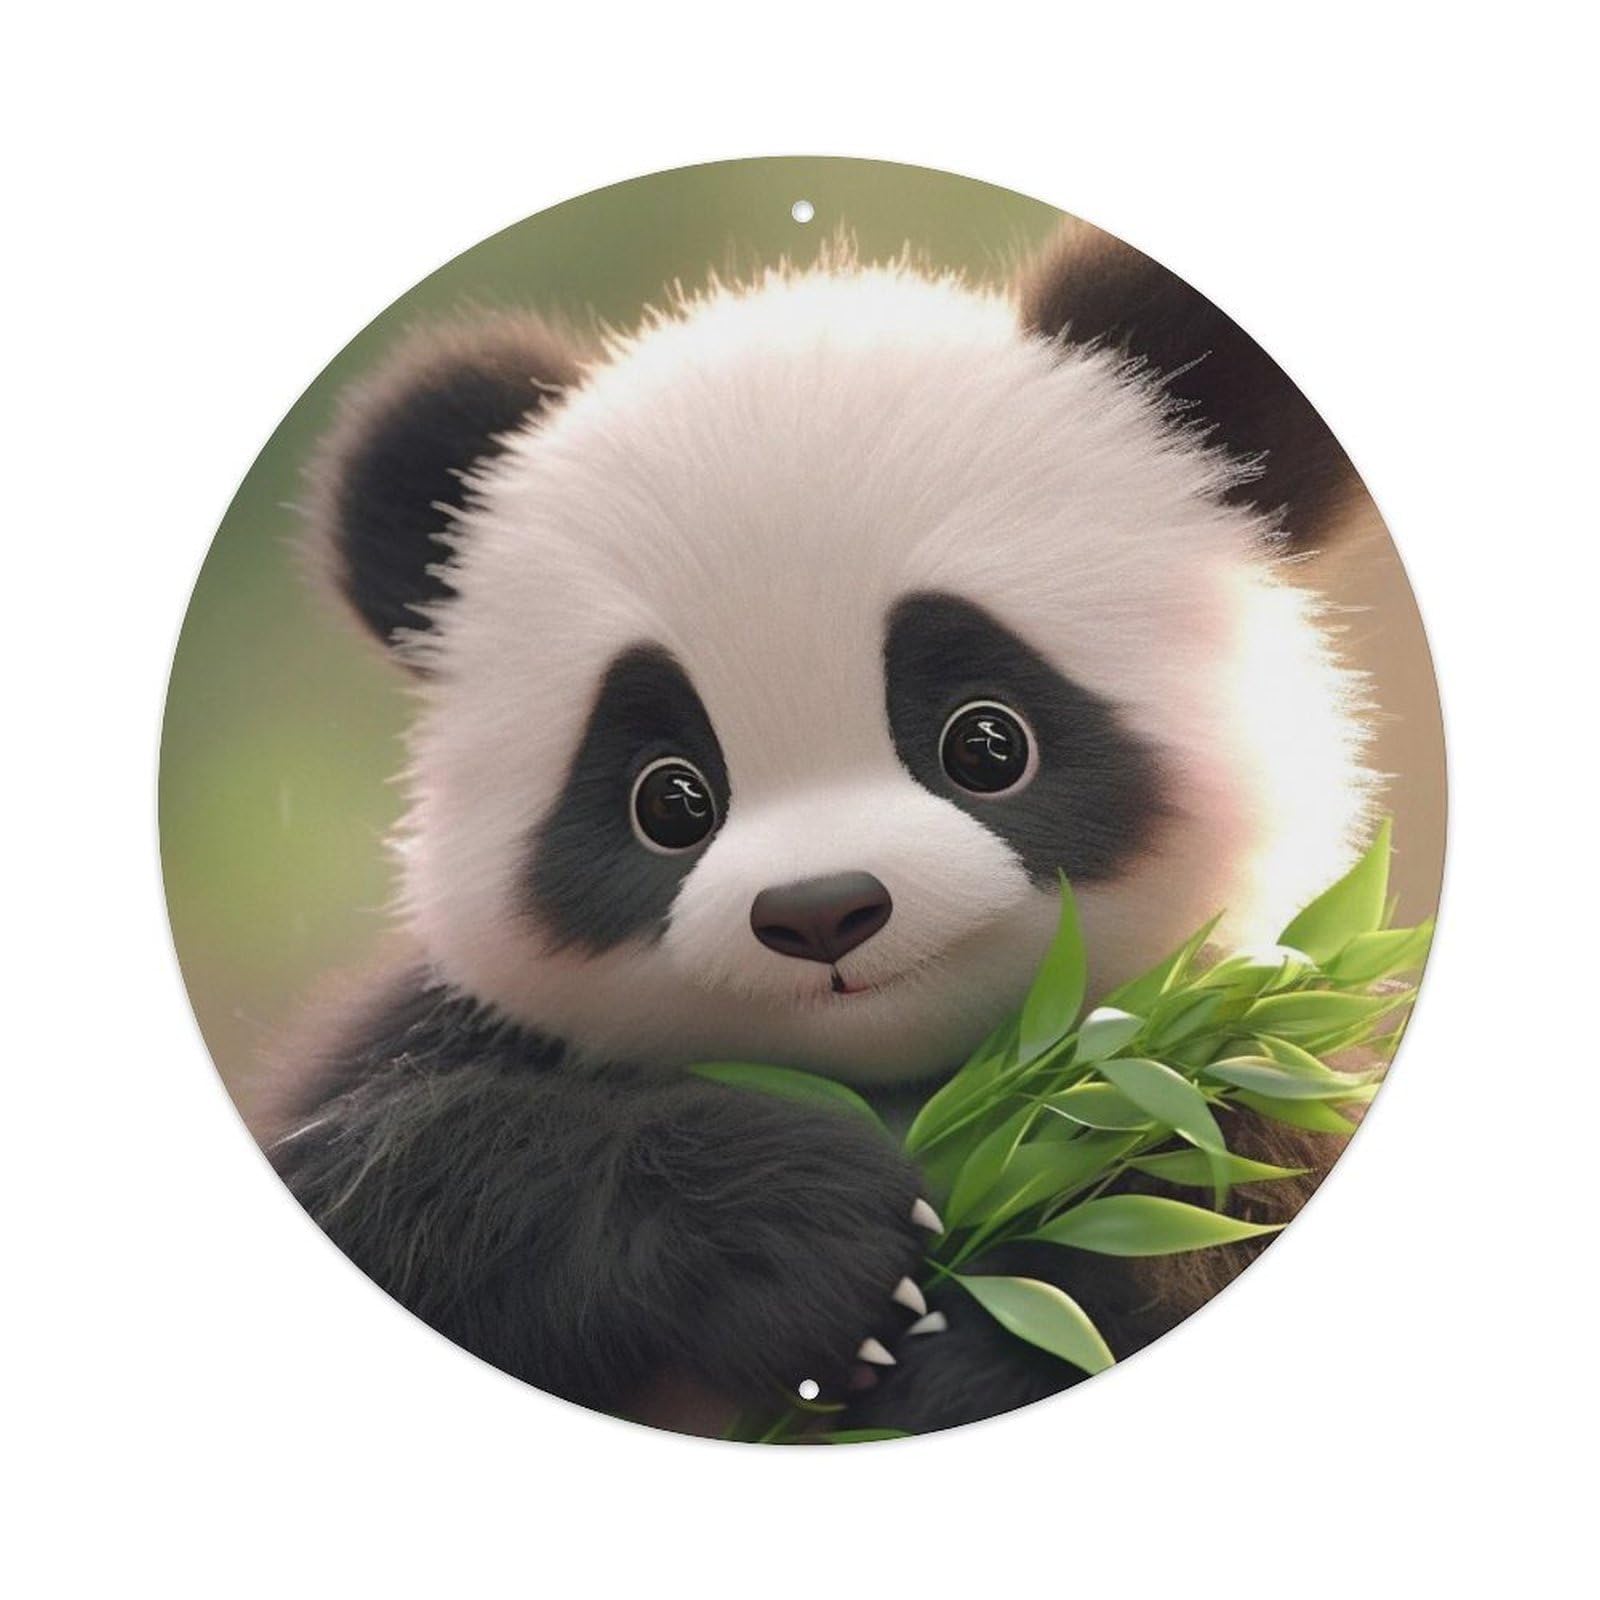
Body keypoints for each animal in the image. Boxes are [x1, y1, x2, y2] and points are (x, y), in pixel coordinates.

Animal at [269, 219, 1375, 1436]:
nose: (821, 912)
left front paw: (979, 1337)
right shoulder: (431, 1052)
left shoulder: (1243, 1063)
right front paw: (796, 1240)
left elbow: (1198, 1213)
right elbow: (401, 1180)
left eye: (987, 743)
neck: (904, 1087)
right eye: (669, 800)